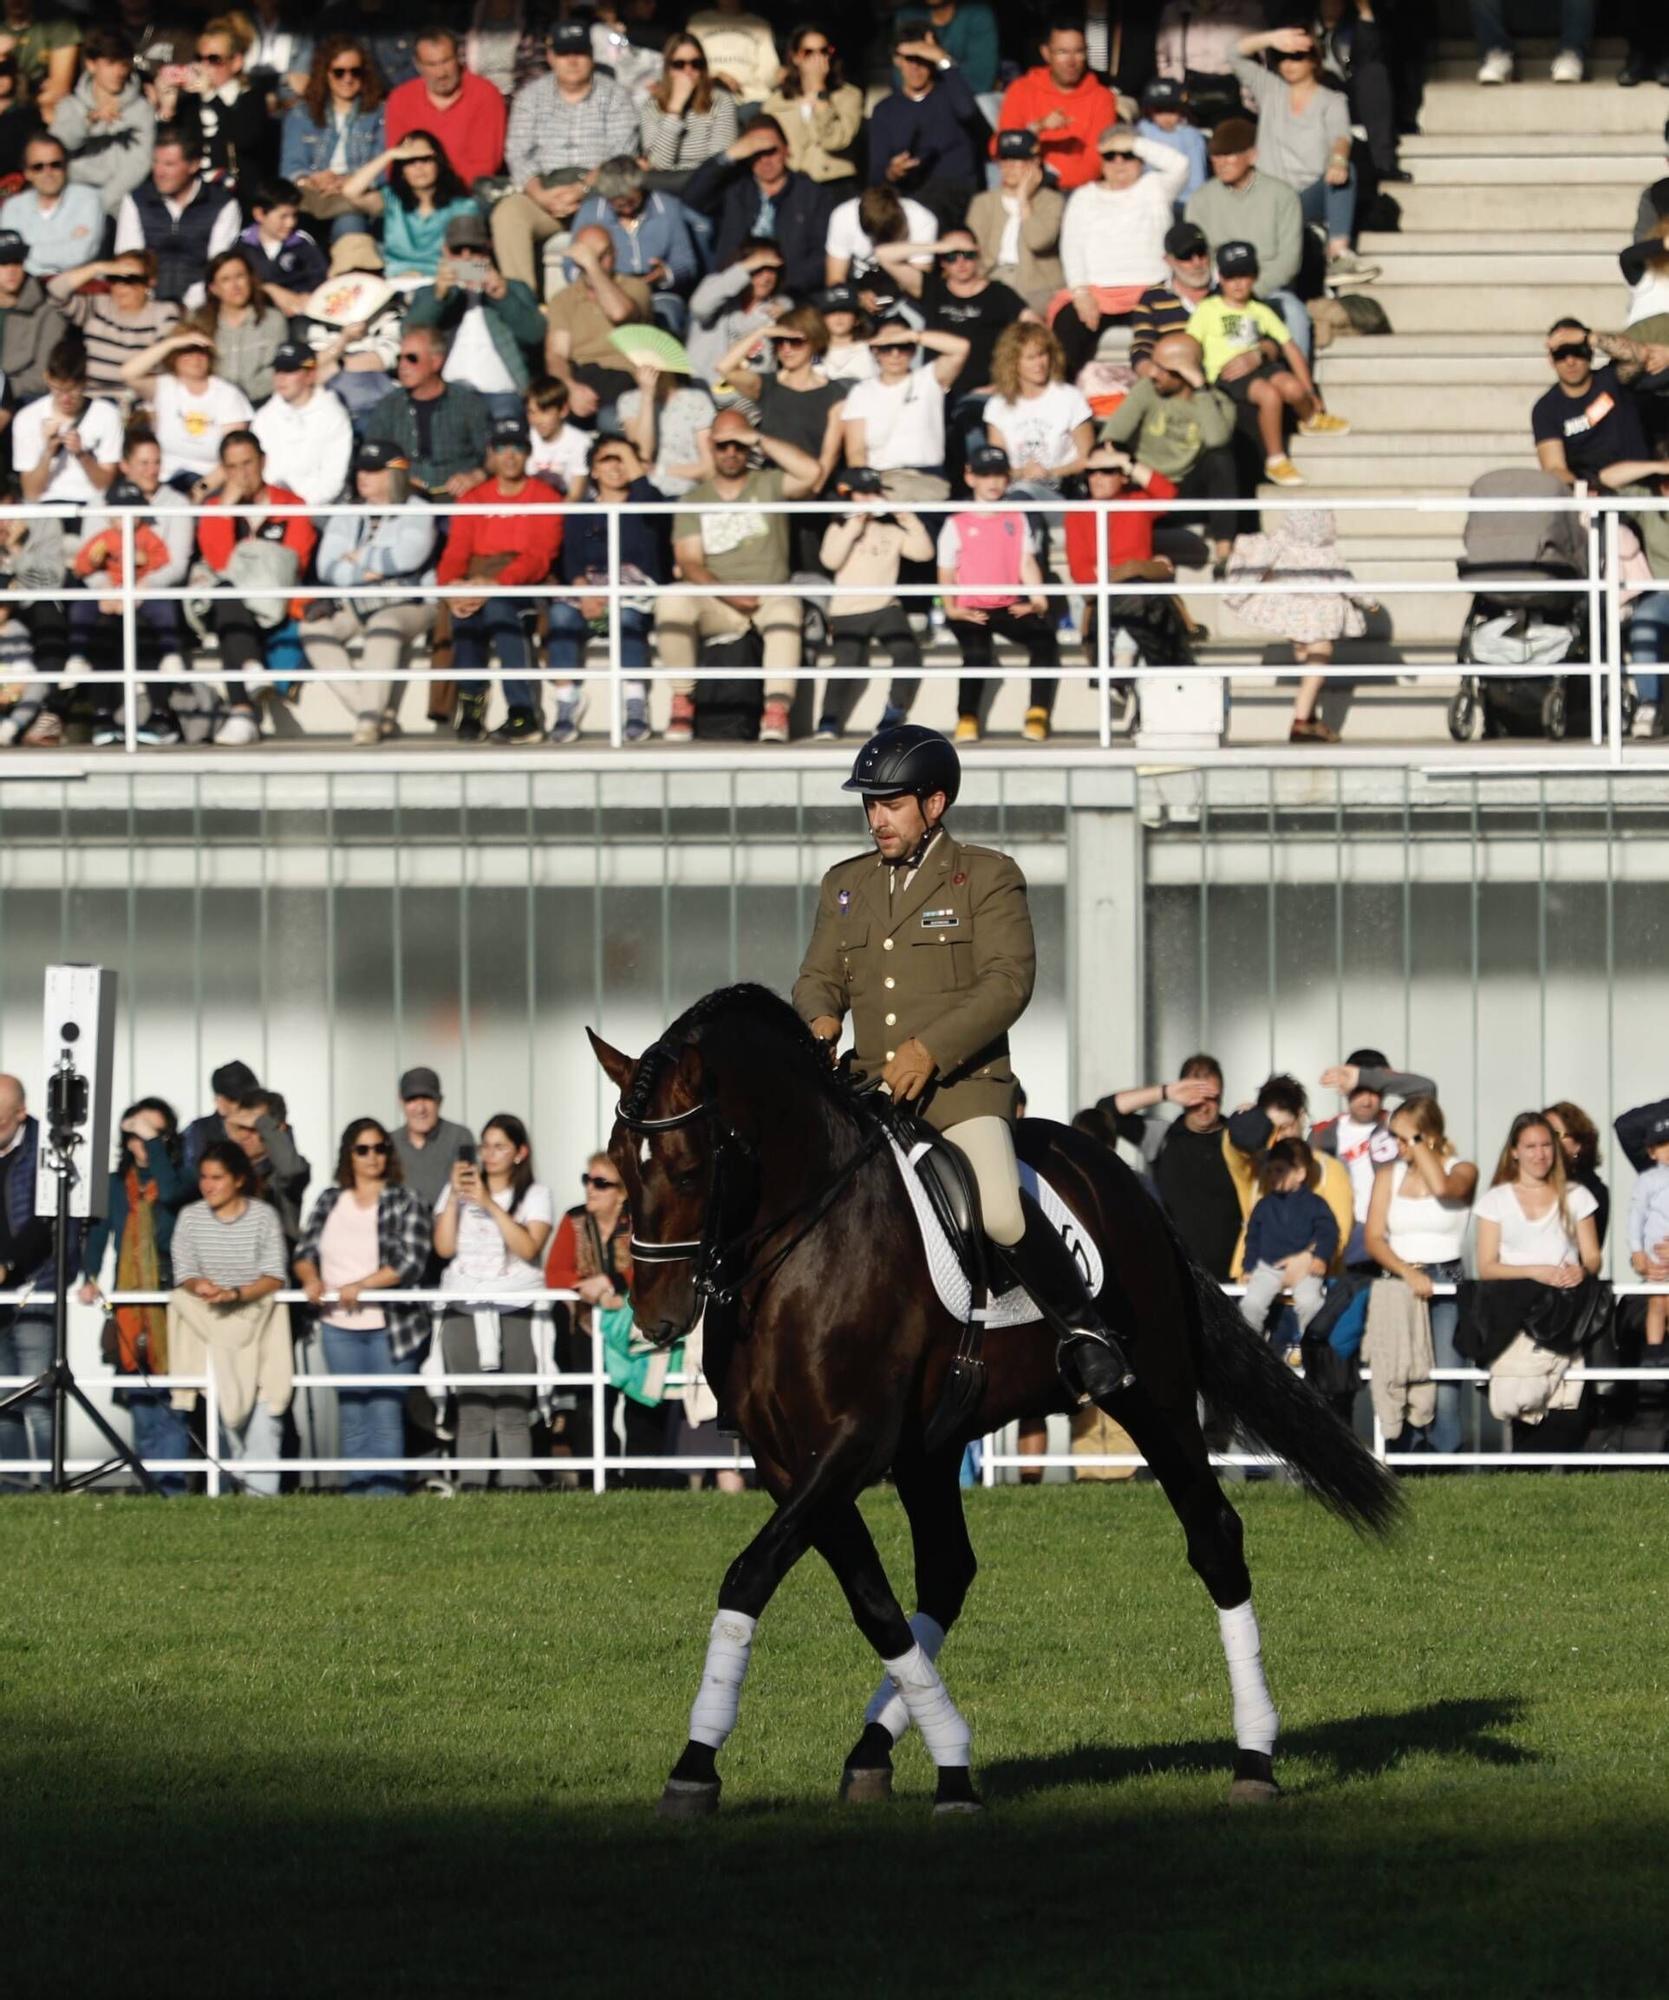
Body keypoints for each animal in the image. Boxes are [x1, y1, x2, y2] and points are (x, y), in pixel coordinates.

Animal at [592, 980, 1400, 1816]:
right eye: (618, 1164)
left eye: (689, 1169)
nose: (656, 1317)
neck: (801, 1246)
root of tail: (1120, 1177)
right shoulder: (791, 1461)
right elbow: (870, 1601)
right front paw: (942, 1756)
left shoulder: (853, 1444)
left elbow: (751, 1575)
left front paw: (696, 1761)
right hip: (933, 1446)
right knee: (948, 1571)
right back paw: (884, 1749)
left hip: (1155, 1394)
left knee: (1212, 1535)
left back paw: (1254, 1756)